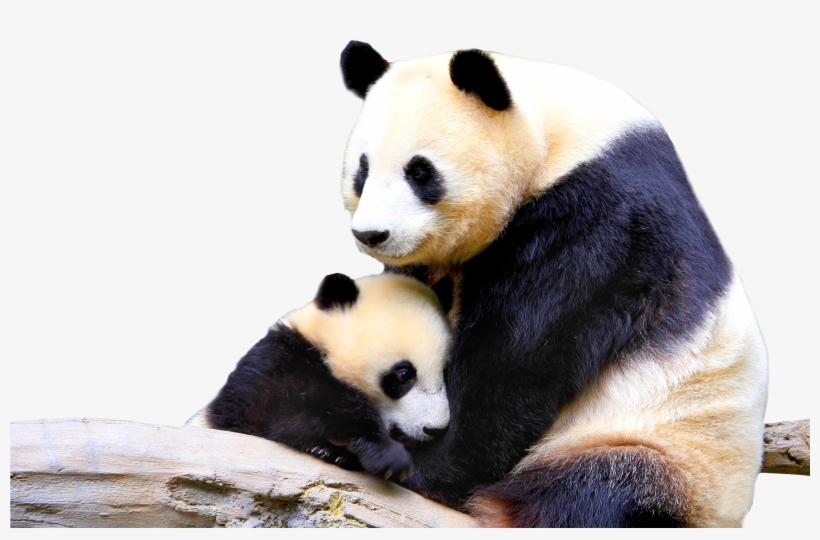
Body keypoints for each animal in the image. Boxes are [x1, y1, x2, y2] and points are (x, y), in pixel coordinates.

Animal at [186, 272, 453, 481]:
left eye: (444, 372)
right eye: (404, 374)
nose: (435, 429)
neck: (321, 342)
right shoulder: (274, 360)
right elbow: (275, 405)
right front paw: (386, 454)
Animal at [337, 42, 768, 527]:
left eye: (420, 172)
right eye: (362, 170)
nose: (371, 234)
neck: (558, 135)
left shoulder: (600, 221)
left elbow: (516, 361)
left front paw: (414, 461)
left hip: (664, 448)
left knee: (593, 495)